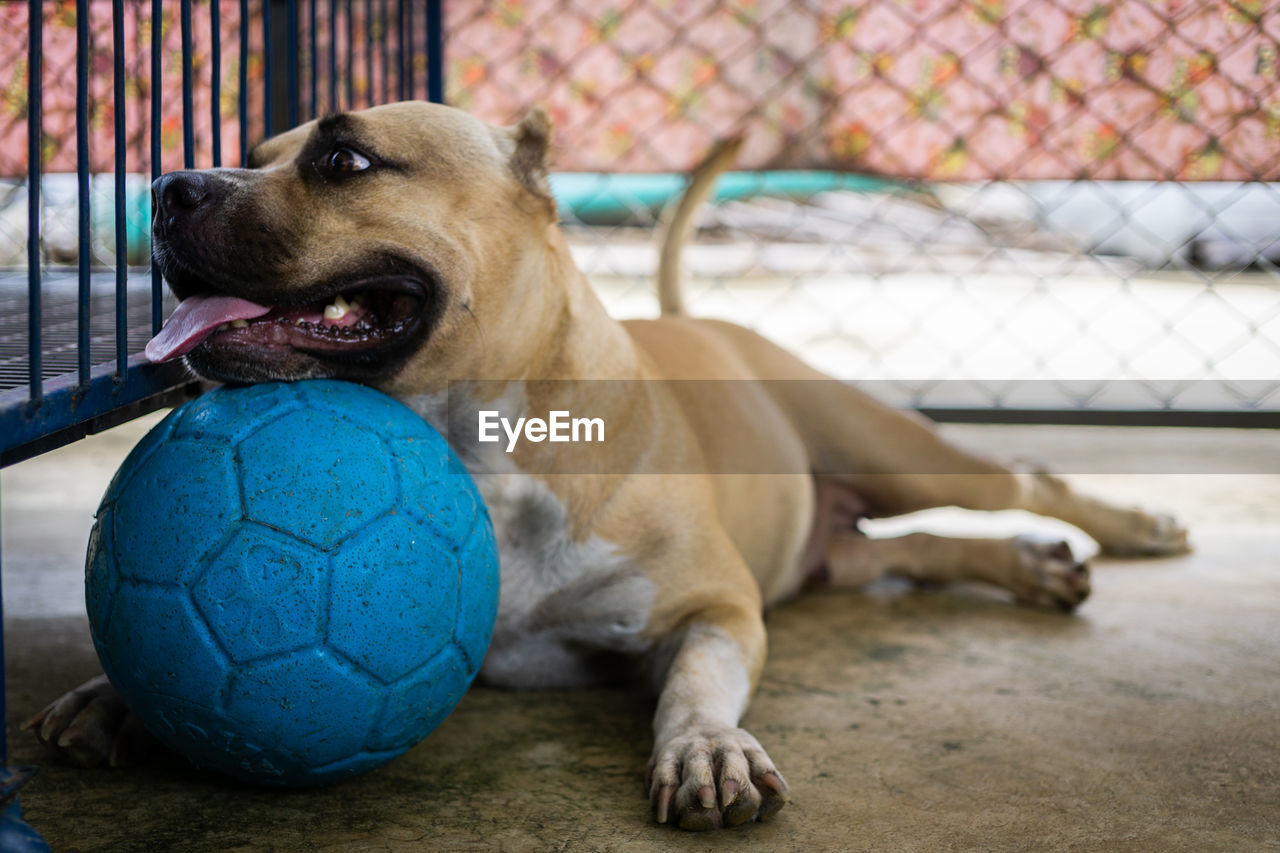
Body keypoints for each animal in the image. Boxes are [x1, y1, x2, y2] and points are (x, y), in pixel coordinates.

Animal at [27, 99, 1187, 824]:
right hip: (835, 543)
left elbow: (698, 685)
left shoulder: (717, 606)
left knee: (1019, 478)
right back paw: (1029, 566)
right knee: (907, 552)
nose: (168, 185)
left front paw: (706, 746)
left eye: (343, 160)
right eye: (257, 149)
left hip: (898, 452)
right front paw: (116, 692)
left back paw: (1129, 530)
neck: (482, 445)